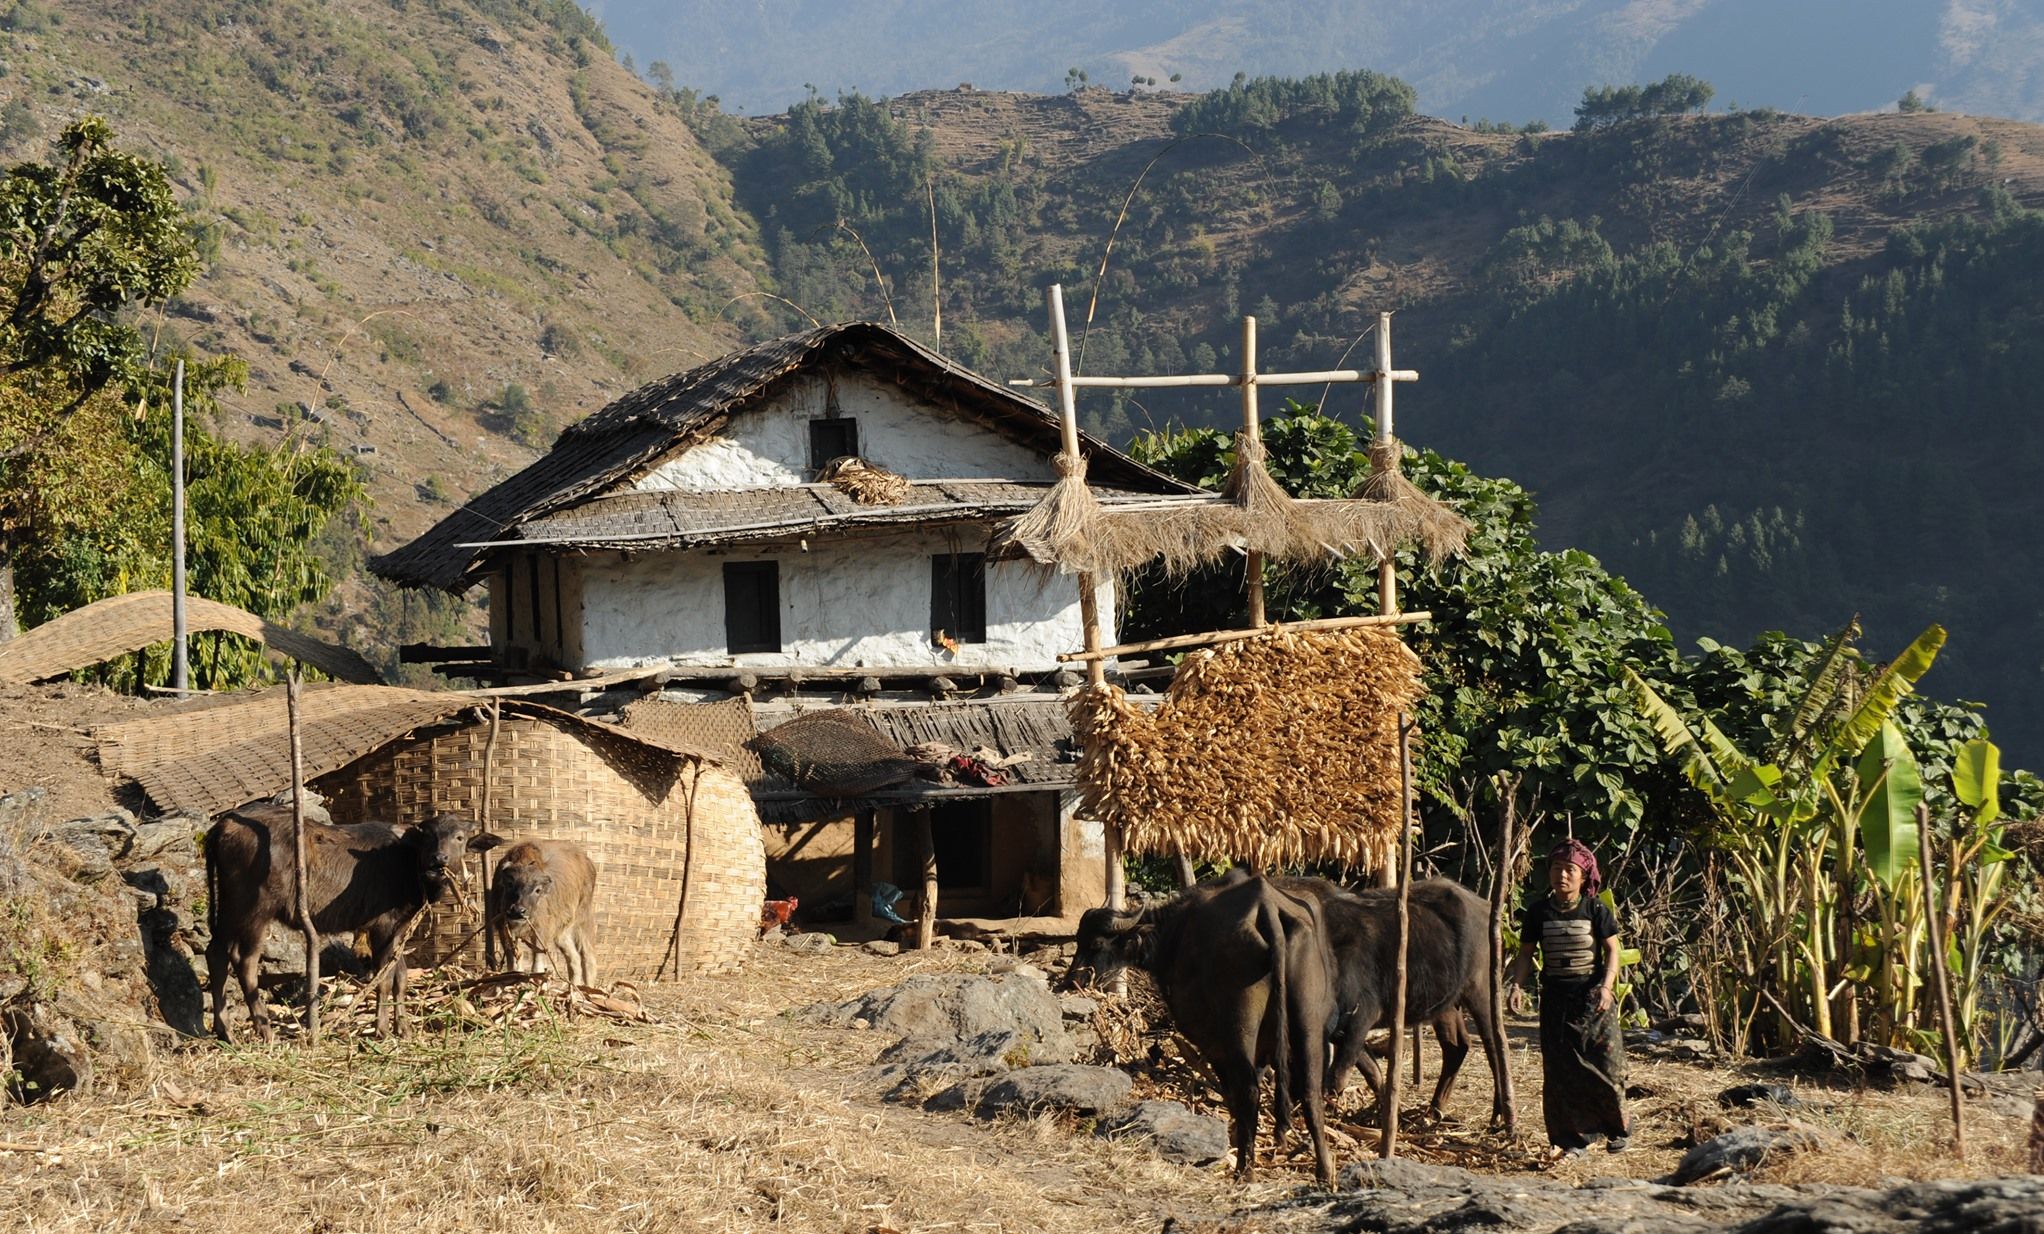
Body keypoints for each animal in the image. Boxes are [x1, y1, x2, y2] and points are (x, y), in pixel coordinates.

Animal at [204, 804, 486, 1037]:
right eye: (428, 836)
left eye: (459, 837)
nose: (439, 859)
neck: (407, 862)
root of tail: (223, 824)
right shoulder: (382, 925)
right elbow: (384, 977)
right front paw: (382, 1029)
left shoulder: (400, 928)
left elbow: (401, 976)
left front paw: (404, 1028)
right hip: (255, 908)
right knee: (245, 961)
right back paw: (265, 1030)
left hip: (230, 905)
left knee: (216, 953)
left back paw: (225, 1031)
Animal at [1071, 878, 1340, 1184]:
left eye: (1095, 943)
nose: (1071, 980)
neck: (1174, 934)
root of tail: (1267, 907)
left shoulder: (1209, 1041)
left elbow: (1231, 1092)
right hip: (1308, 1024)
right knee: (1310, 1091)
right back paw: (1324, 1171)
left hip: (1238, 1030)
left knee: (1249, 1091)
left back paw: (1245, 1170)